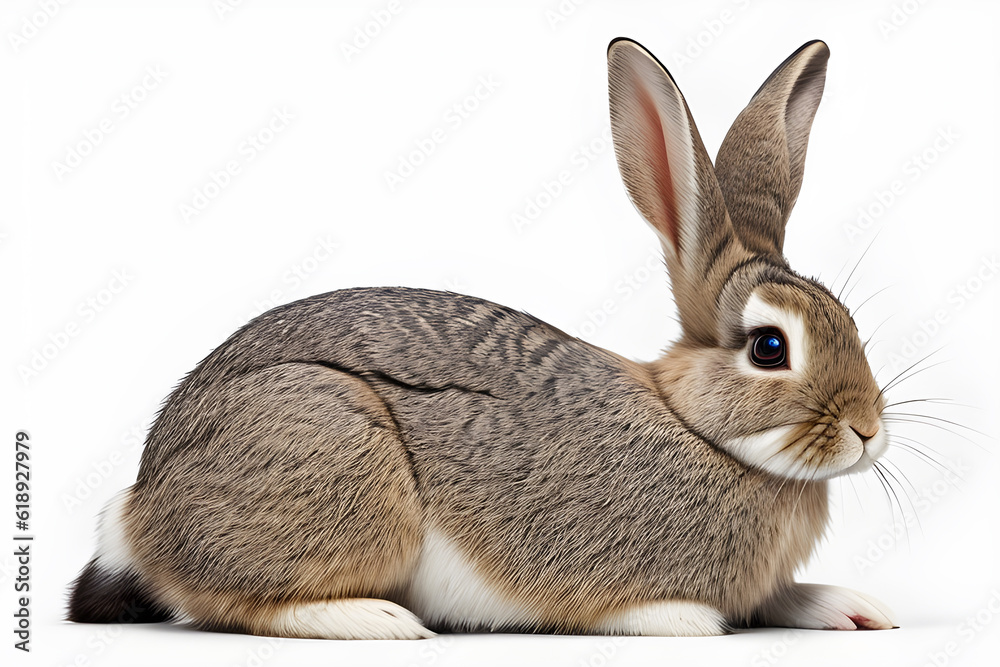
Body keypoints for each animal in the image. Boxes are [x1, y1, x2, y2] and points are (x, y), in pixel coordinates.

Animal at [67, 37, 897, 639]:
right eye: (769, 347)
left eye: (852, 325)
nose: (867, 429)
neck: (696, 428)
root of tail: (141, 508)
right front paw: (687, 618)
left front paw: (850, 606)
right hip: (337, 454)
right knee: (240, 601)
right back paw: (374, 618)